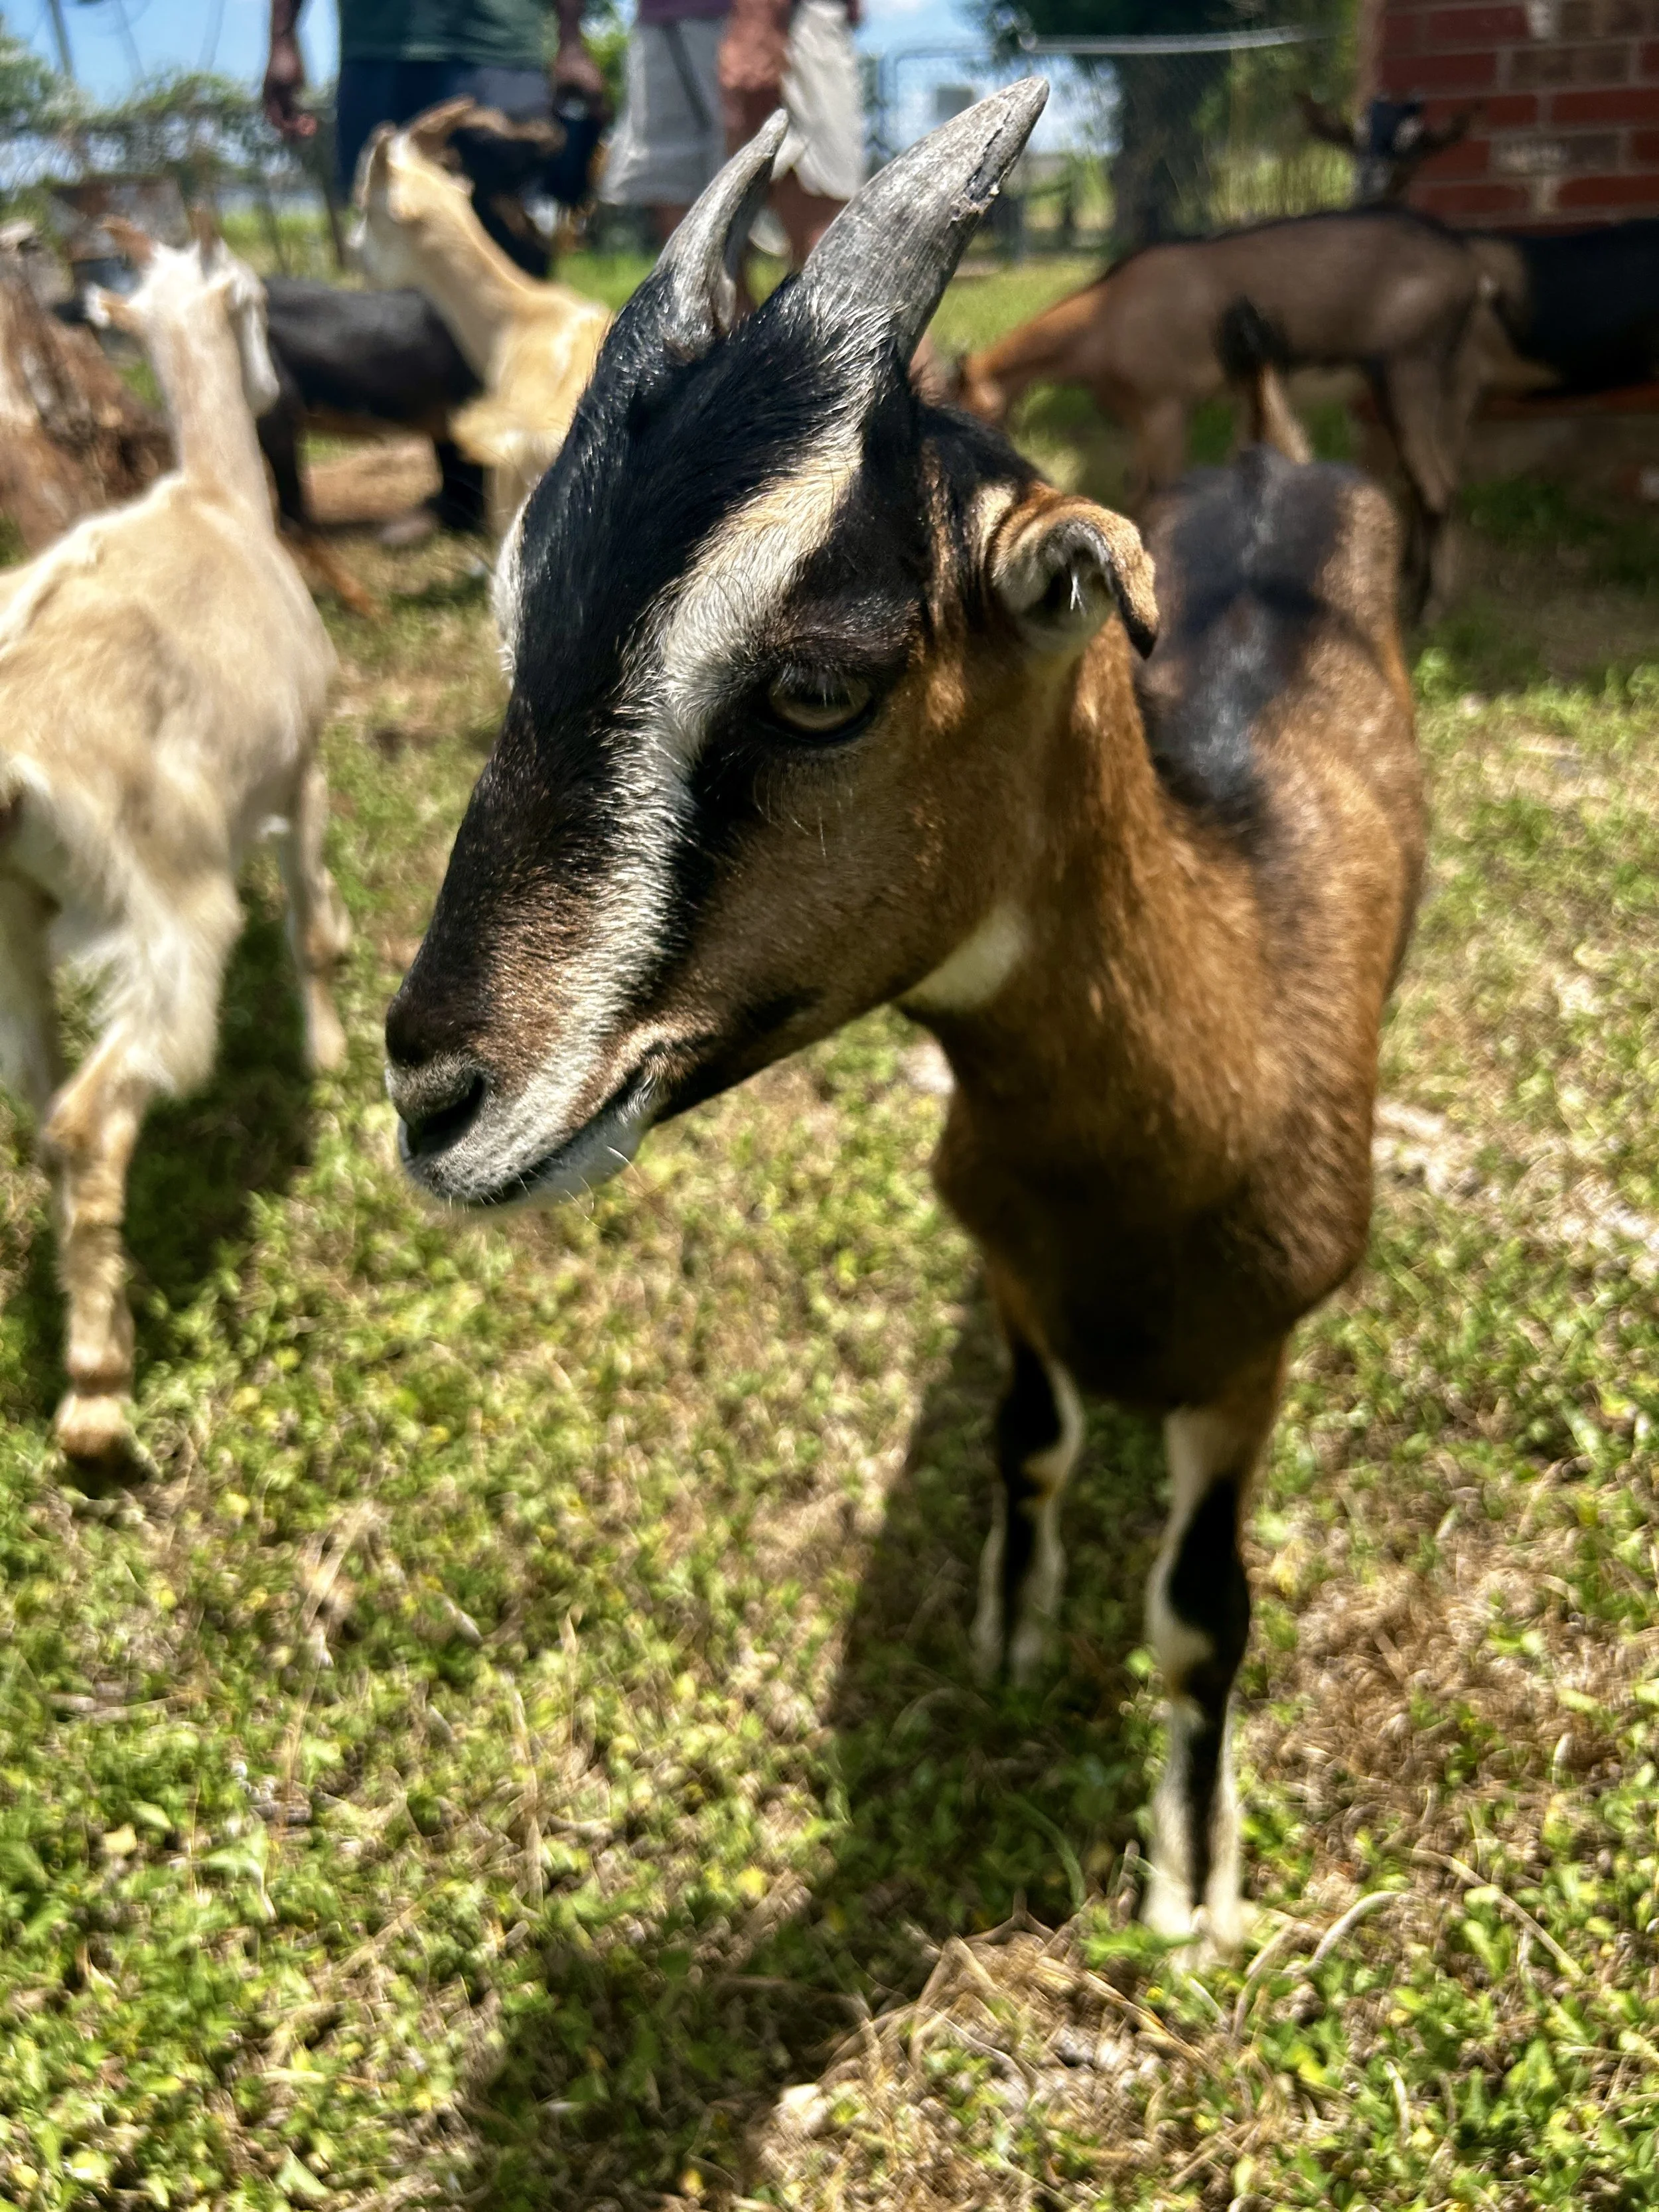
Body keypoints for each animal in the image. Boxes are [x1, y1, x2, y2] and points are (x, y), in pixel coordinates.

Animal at [0, 215, 349, 1462]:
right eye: (253, 299)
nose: (278, 384)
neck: (216, 499)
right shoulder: (304, 756)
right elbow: (309, 927)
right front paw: (328, 1054)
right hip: (163, 896)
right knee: (89, 1116)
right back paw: (97, 1397)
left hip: (12, 923)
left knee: (38, 1096)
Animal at [951, 205, 1492, 616]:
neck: (1105, 319)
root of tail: (1470, 269)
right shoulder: (1143, 423)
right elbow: (1136, 491)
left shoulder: (1166, 411)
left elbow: (1156, 495)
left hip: (1407, 370)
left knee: (1436, 486)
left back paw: (1428, 608)